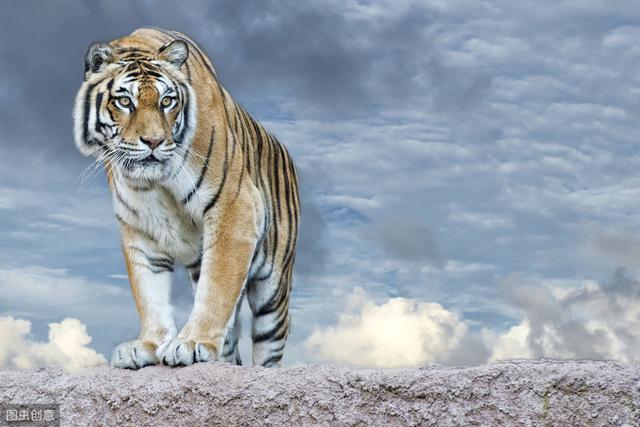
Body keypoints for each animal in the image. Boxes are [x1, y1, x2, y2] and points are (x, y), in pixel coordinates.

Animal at [73, 28, 299, 369]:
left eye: (167, 101)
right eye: (125, 101)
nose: (153, 141)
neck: (154, 182)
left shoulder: (234, 206)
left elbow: (216, 287)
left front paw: (193, 343)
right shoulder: (139, 228)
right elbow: (148, 291)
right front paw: (149, 344)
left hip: (273, 291)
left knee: (267, 347)